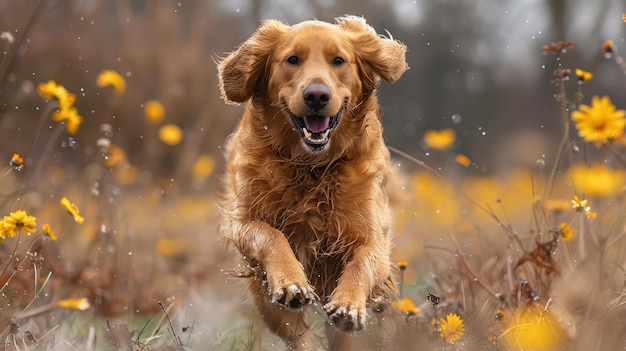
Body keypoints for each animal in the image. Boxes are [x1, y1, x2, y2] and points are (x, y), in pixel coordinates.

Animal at [217, 15, 408, 350]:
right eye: (292, 59)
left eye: (339, 60)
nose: (317, 96)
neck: (311, 167)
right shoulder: (241, 222)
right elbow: (270, 235)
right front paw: (291, 282)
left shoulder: (371, 238)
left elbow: (362, 262)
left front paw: (348, 304)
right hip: (261, 292)